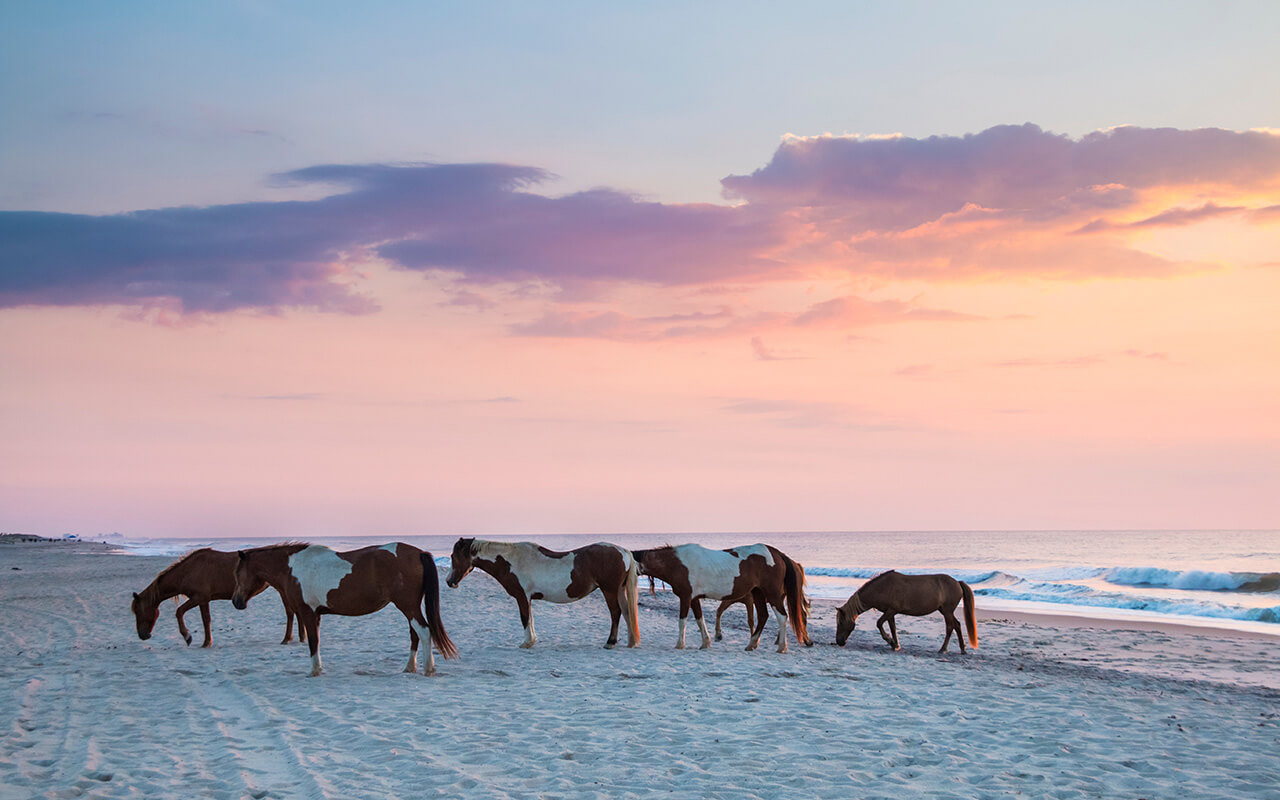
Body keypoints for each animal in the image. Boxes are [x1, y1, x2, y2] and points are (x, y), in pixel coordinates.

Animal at [131, 545, 300, 645]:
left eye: (138, 611)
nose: (142, 635)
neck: (188, 571)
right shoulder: (202, 600)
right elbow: (206, 620)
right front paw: (206, 641)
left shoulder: (200, 598)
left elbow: (182, 613)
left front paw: (189, 637)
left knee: (290, 612)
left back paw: (287, 639)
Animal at [232, 542, 458, 675]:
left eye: (237, 573)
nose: (236, 601)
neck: (293, 567)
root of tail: (419, 553)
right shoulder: (315, 615)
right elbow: (316, 641)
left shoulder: (307, 612)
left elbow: (313, 642)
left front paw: (314, 671)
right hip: (411, 607)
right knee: (415, 634)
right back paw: (410, 667)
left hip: (408, 606)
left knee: (424, 631)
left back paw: (428, 669)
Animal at [448, 537, 640, 650]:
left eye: (452, 556)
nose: (449, 581)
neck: (511, 561)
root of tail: (623, 551)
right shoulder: (527, 598)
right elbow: (530, 618)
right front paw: (531, 640)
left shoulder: (522, 596)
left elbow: (525, 618)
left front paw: (527, 642)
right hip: (619, 590)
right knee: (626, 612)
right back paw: (631, 642)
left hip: (609, 590)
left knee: (616, 613)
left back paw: (610, 642)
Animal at [632, 540, 808, 652]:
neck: (677, 563)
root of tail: (777, 554)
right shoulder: (694, 598)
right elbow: (699, 620)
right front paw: (705, 643)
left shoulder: (685, 597)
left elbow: (682, 621)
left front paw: (680, 644)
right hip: (758, 593)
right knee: (763, 616)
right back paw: (751, 644)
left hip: (772, 593)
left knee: (782, 617)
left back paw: (782, 647)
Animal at [834, 565, 972, 652]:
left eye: (840, 623)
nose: (839, 642)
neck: (882, 587)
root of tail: (957, 582)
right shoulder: (890, 613)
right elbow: (893, 628)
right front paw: (895, 645)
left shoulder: (891, 611)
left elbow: (879, 623)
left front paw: (890, 641)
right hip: (945, 611)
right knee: (957, 625)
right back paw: (962, 649)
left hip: (947, 611)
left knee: (950, 627)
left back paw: (943, 649)